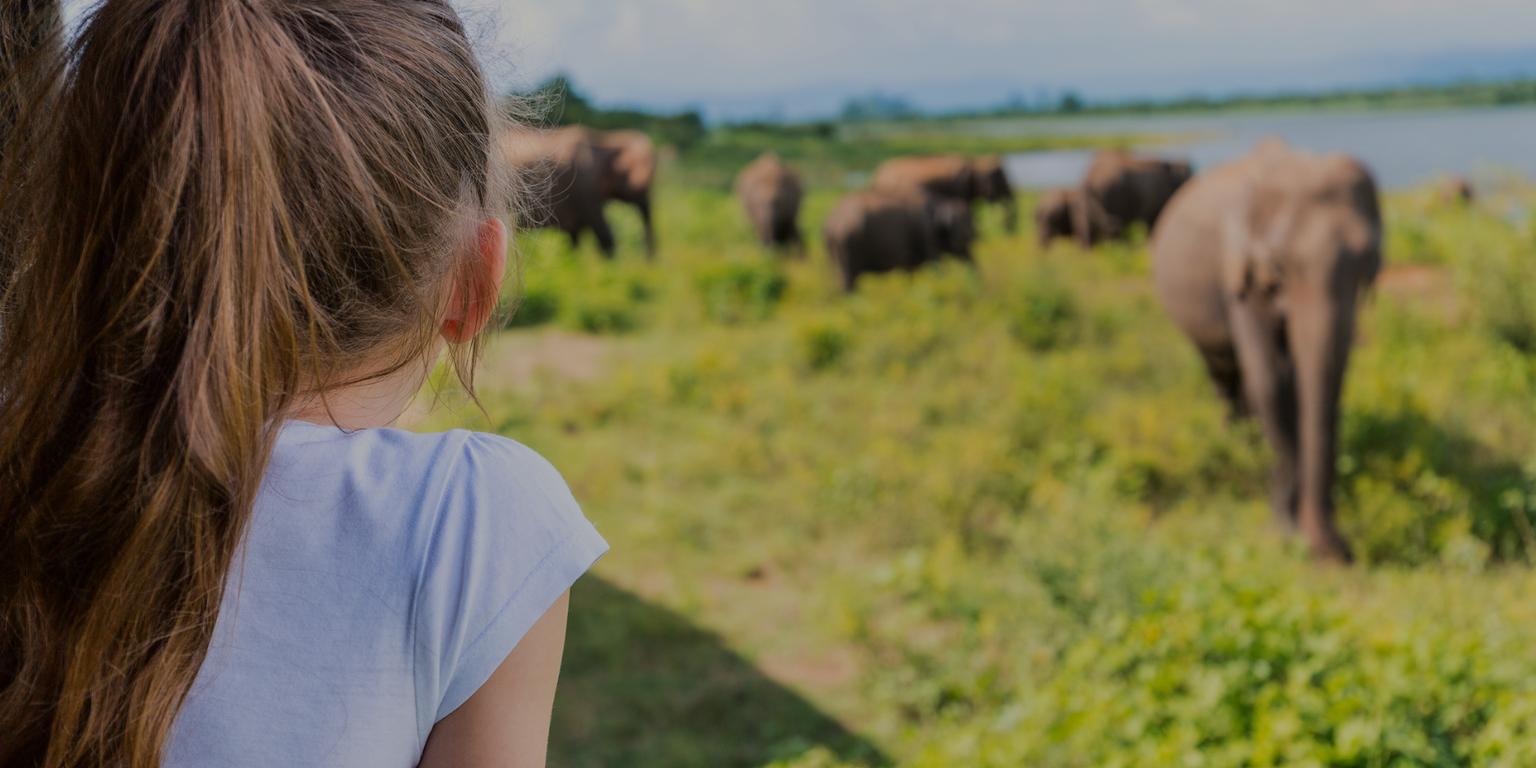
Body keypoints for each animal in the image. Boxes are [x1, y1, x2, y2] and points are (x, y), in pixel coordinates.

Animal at [823, 190, 974, 293]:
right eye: (964, 232)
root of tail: (831, 223)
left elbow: (911, 270)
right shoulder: (926, 234)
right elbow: (934, 264)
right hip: (849, 245)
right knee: (849, 279)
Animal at [1150, 140, 1382, 563]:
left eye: (1368, 261)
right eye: (1279, 264)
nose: (1337, 552)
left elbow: (1319, 384)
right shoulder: (1238, 272)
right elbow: (1271, 379)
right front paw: (1283, 531)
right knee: (1225, 373)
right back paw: (1238, 443)